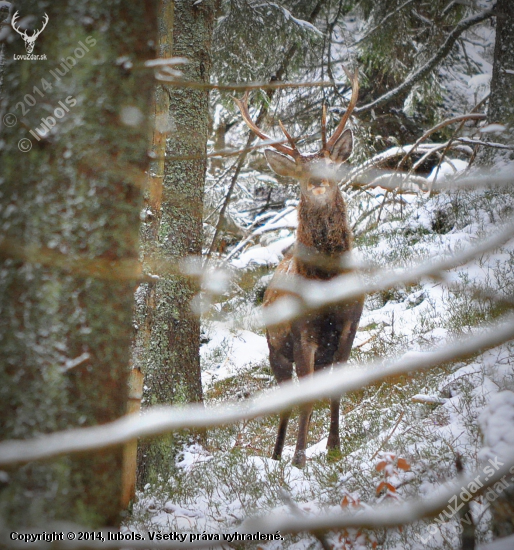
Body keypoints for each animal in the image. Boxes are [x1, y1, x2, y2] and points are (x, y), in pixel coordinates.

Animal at [234, 67, 362, 468]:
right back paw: (277, 455)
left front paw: (334, 447)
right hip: (275, 350)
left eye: (331, 165)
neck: (326, 280)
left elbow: (337, 387)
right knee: (287, 398)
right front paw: (300, 458)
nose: (318, 182)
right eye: (303, 171)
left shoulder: (351, 323)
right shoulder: (303, 331)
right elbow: (303, 398)